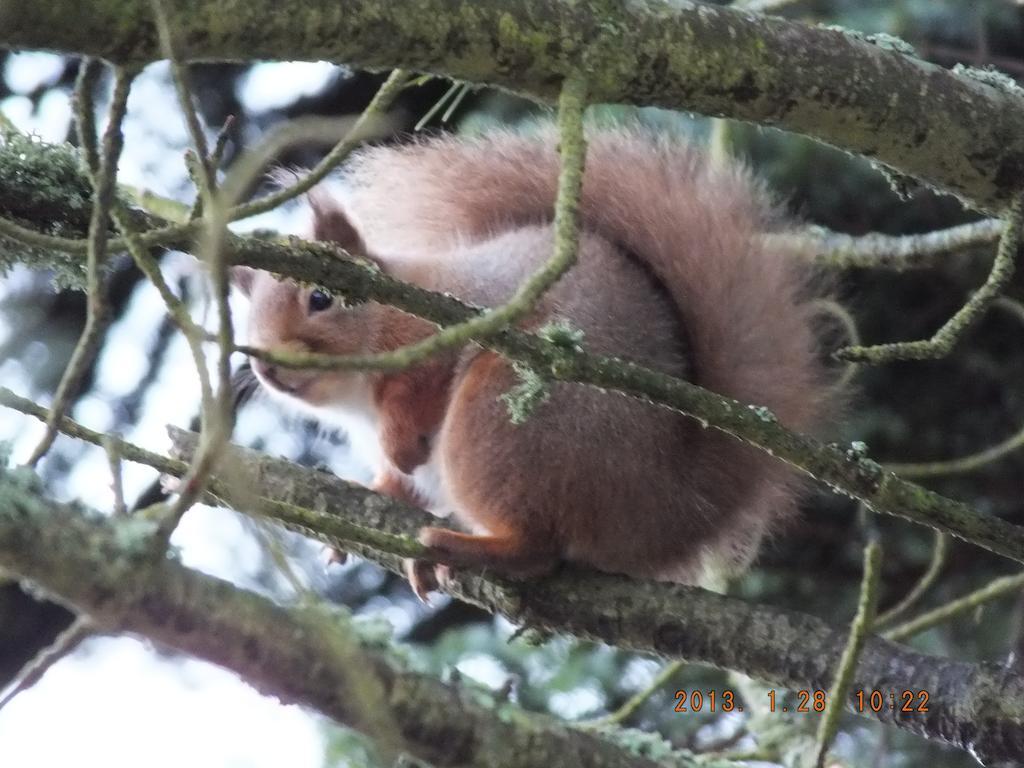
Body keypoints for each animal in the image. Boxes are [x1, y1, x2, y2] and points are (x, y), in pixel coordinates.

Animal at [234, 131, 839, 602]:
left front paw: (401, 449)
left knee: (537, 549)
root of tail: (666, 505)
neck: (355, 396)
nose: (266, 367)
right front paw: (382, 489)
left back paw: (466, 548)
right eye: (245, 321)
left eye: (320, 298)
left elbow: (419, 391)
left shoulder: (444, 326)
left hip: (503, 419)